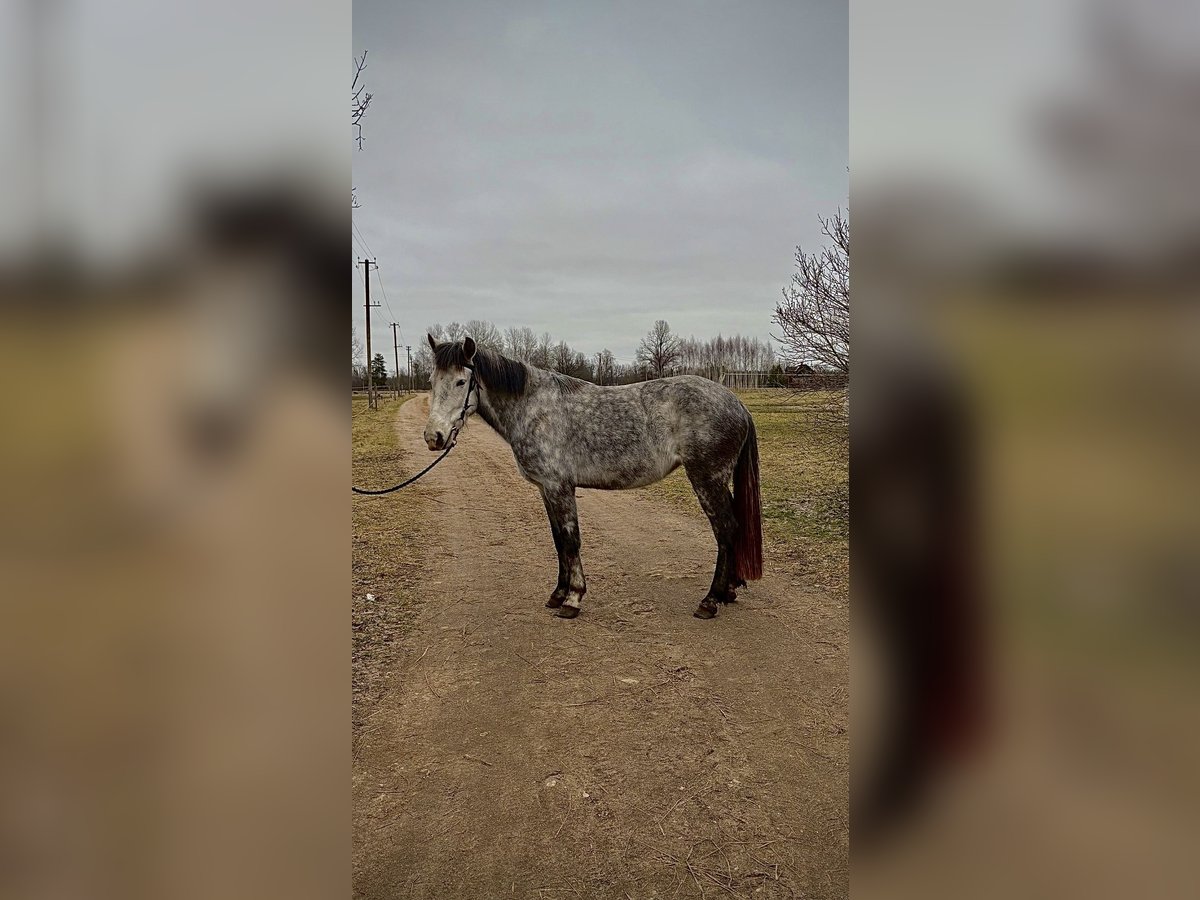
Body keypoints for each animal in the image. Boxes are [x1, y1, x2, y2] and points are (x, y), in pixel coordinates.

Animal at [422, 336, 758, 619]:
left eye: (461, 381)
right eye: (432, 381)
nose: (433, 436)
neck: (533, 408)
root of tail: (737, 403)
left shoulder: (559, 487)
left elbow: (571, 541)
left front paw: (573, 599)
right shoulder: (546, 489)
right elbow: (558, 540)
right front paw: (558, 594)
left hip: (707, 479)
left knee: (725, 529)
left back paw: (710, 601)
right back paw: (728, 592)